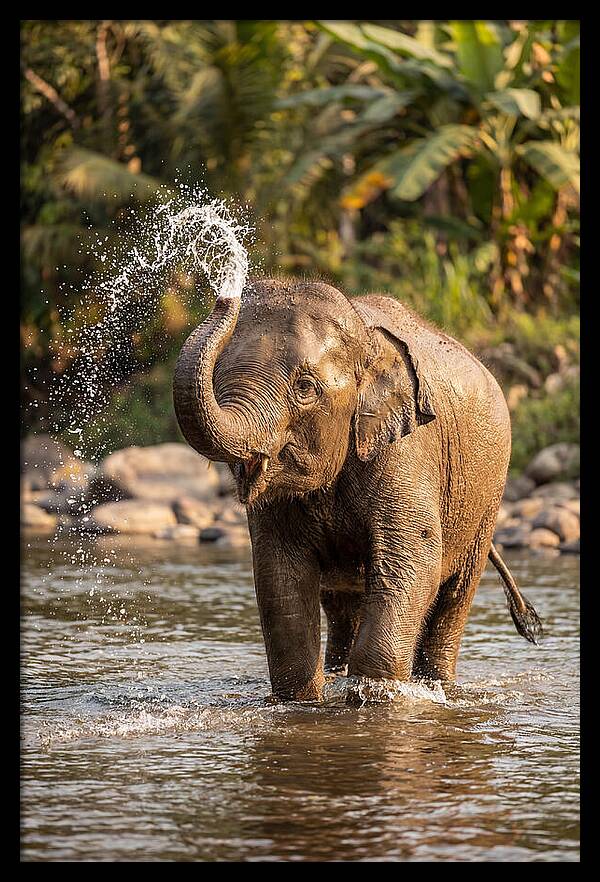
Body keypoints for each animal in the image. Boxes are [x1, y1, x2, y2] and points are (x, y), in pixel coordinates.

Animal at [173, 278, 542, 701]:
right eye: (218, 378)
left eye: (305, 388)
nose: (225, 293)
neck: (365, 339)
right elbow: (279, 574)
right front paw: (304, 700)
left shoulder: (407, 451)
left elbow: (413, 559)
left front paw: (373, 695)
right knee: (341, 603)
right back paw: (338, 672)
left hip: (487, 498)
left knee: (454, 594)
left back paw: (437, 684)